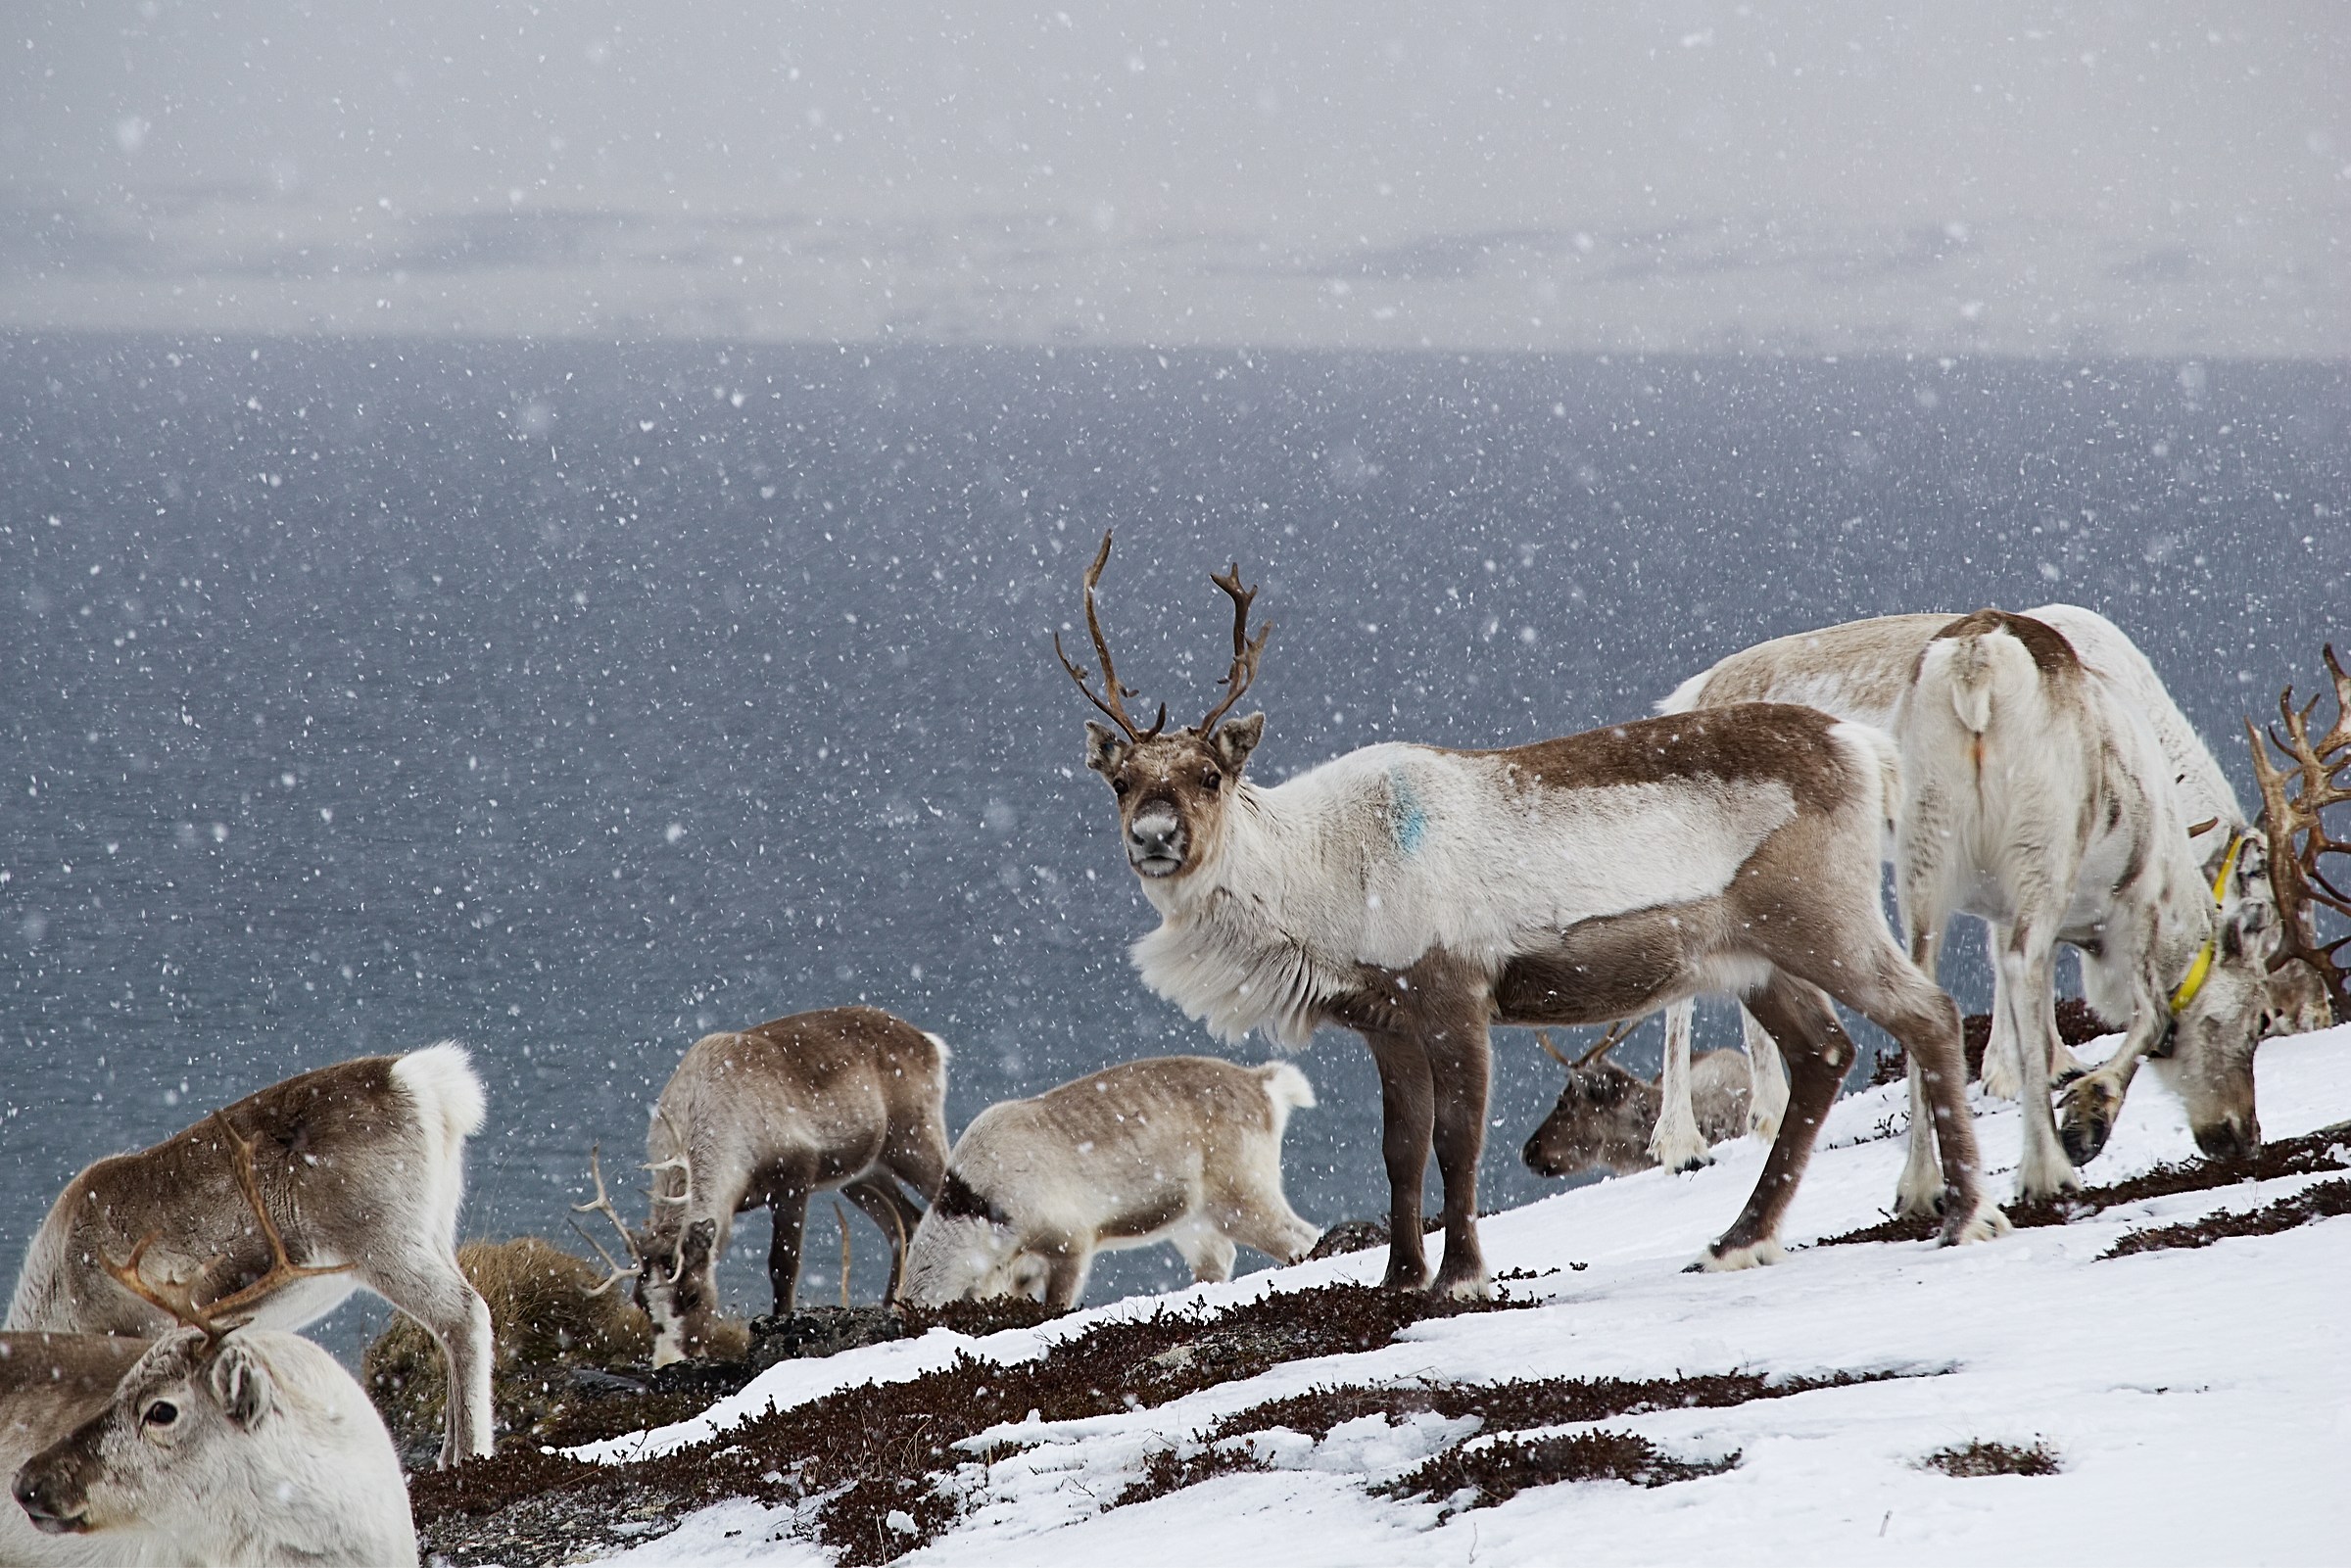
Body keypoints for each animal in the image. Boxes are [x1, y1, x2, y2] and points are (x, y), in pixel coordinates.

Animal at [6, 1044, 494, 1468]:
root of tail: (423, 1083)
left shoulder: (136, 1330)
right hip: (436, 1228)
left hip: (382, 1241)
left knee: (462, 1315)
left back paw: (465, 1456)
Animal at [571, 1006, 951, 1366]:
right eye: (641, 1301)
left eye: (692, 1295)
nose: (668, 1361)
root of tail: (931, 1044)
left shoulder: (794, 1178)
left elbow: (783, 1265)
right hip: (862, 1174)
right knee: (905, 1222)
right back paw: (893, 1306)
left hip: (913, 1137)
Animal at [901, 1055, 1322, 1308]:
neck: (979, 1205)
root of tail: (1264, 1084)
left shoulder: (1071, 1242)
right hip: (1191, 1221)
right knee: (1219, 1258)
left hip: (1240, 1198)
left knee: (1301, 1236)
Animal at [1647, 605, 2282, 1187]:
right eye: (2259, 1017)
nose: (2241, 1135)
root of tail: (1691, 697)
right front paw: (2031, 1078)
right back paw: (1683, 1145)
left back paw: (1771, 1114)